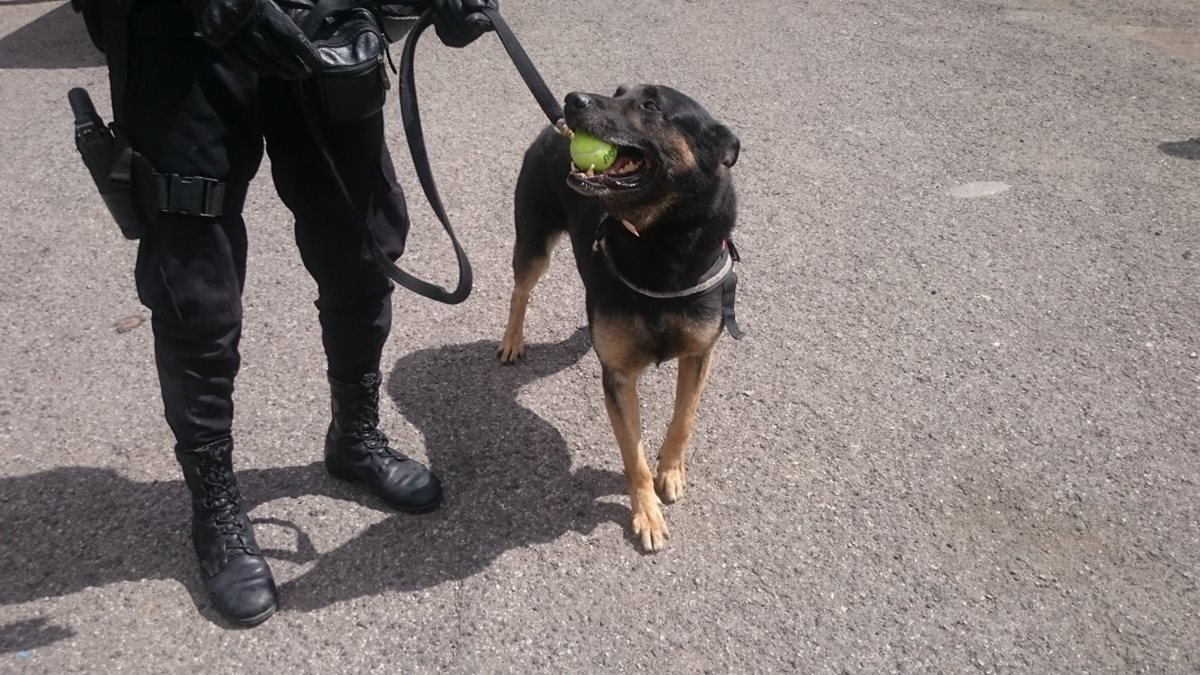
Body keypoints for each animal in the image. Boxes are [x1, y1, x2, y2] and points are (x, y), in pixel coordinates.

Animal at [496, 84, 739, 550]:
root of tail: (553, 126)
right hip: (534, 243)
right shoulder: (619, 378)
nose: (574, 100)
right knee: (520, 291)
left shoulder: (699, 354)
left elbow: (684, 419)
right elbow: (633, 456)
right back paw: (512, 341)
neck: (660, 244)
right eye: (618, 92)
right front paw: (647, 515)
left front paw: (671, 471)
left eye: (651, 104)